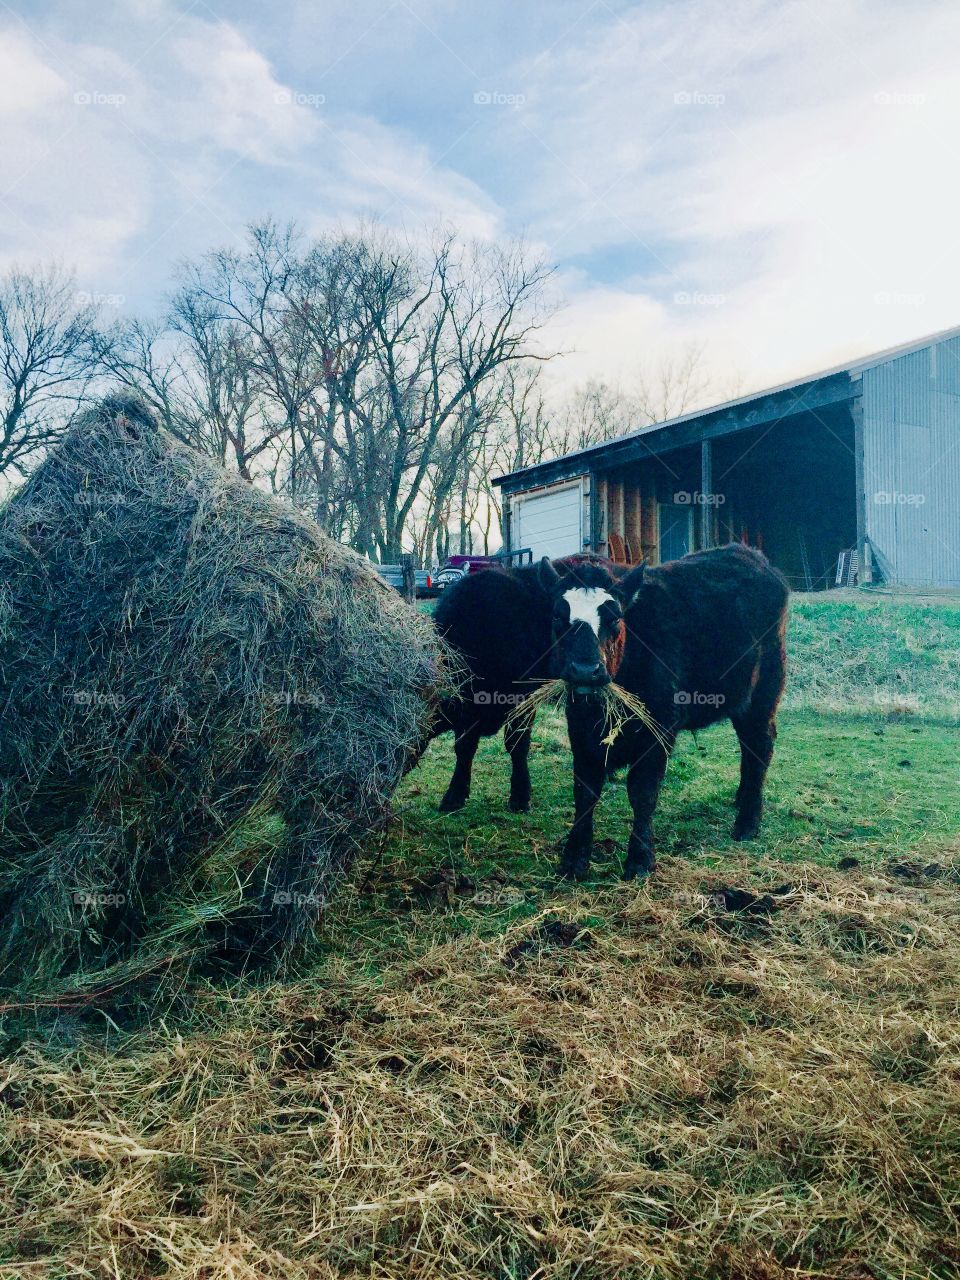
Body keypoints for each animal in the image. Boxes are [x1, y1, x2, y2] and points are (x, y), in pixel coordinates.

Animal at [542, 540, 788, 880]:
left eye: (615, 617)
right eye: (557, 616)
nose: (584, 670)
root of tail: (750, 555)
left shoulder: (658, 728)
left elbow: (642, 791)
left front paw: (640, 859)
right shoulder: (579, 726)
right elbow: (585, 791)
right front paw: (574, 858)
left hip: (763, 692)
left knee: (760, 745)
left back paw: (748, 822)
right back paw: (741, 800)